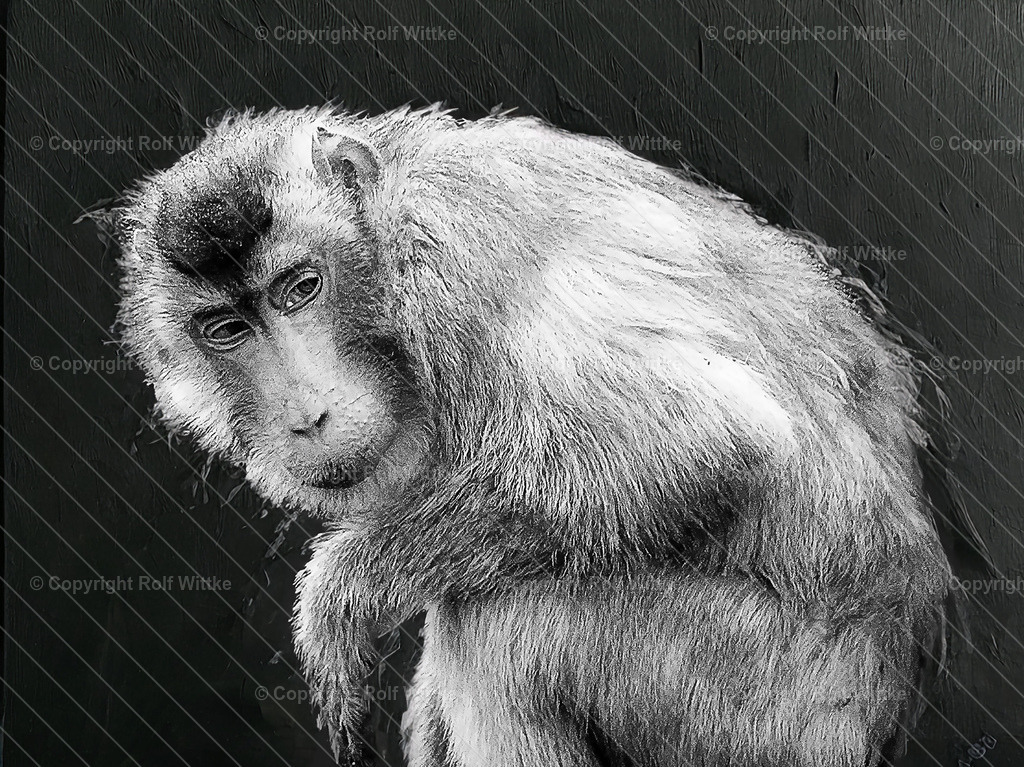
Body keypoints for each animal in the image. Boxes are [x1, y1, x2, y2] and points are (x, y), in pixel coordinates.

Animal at [114, 104, 953, 767]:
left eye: (301, 288)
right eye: (226, 330)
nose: (306, 413)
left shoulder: (449, 250)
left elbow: (702, 436)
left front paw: (341, 597)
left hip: (763, 706)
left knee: (501, 629)